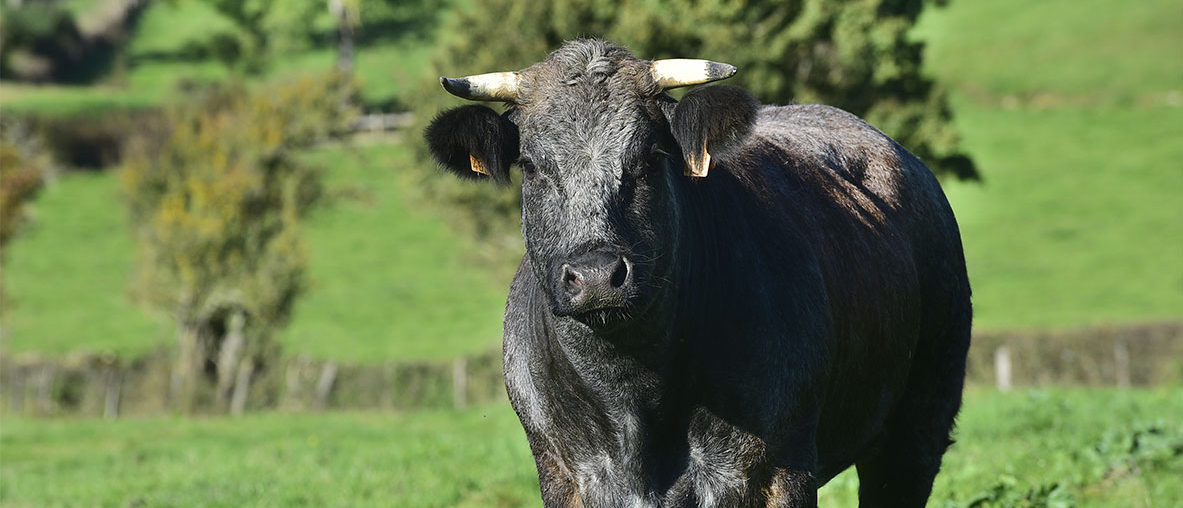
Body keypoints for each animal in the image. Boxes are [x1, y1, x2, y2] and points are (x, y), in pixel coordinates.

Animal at [425, 40, 970, 506]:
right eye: (533, 165)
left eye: (650, 156)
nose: (597, 275)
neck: (637, 402)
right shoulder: (562, 472)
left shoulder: (782, 467)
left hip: (920, 422)